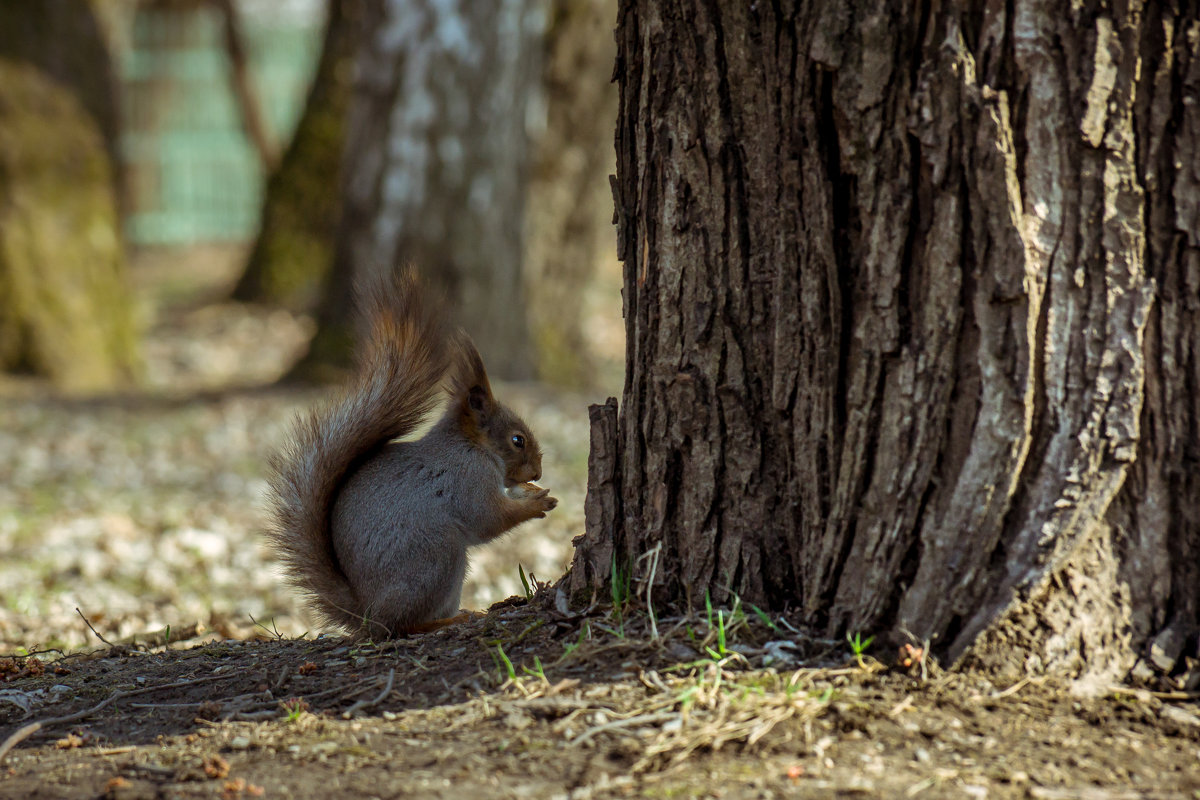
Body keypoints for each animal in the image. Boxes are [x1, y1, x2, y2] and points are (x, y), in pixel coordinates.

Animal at [267, 268, 556, 638]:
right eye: (518, 440)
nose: (537, 472)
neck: (471, 446)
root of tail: (368, 613)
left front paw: (535, 493)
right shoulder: (468, 478)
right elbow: (489, 518)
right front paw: (537, 504)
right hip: (438, 556)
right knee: (403, 626)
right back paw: (449, 620)